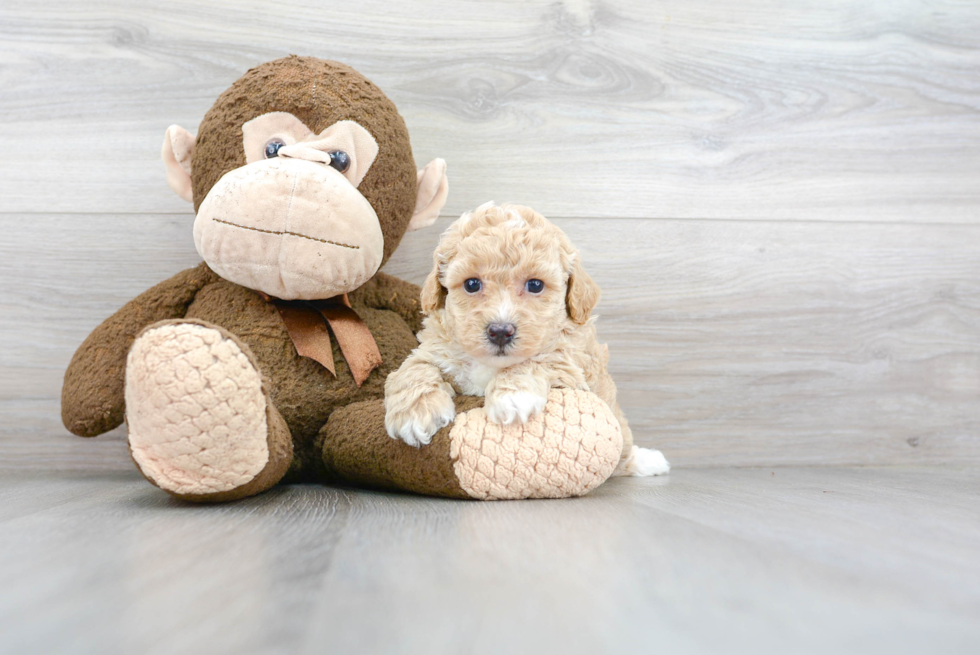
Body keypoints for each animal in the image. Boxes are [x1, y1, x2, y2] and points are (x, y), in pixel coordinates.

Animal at [386, 201, 668, 476]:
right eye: (471, 284)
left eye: (535, 285)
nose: (500, 331)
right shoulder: (435, 348)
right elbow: (413, 368)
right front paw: (414, 414)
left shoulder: (572, 362)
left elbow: (536, 360)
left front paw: (512, 397)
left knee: (624, 450)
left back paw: (649, 461)